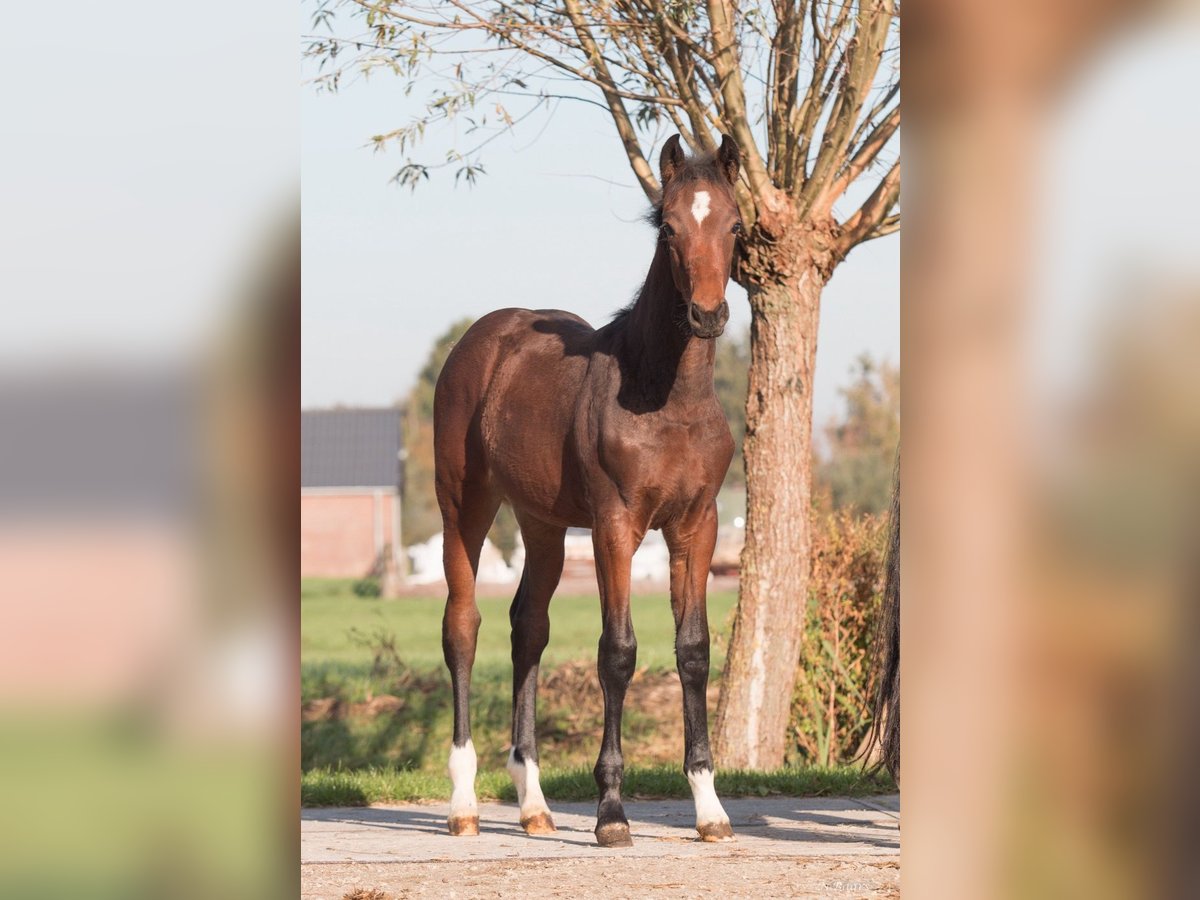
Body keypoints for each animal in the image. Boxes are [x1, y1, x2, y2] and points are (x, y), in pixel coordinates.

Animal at [436, 132, 739, 844]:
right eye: (668, 227)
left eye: (736, 225)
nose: (707, 314)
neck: (667, 398)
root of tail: (480, 339)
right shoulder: (615, 525)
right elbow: (618, 652)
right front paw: (611, 814)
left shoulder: (697, 526)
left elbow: (693, 651)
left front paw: (710, 808)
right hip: (463, 505)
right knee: (463, 627)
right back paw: (463, 805)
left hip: (542, 524)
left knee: (528, 628)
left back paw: (533, 805)